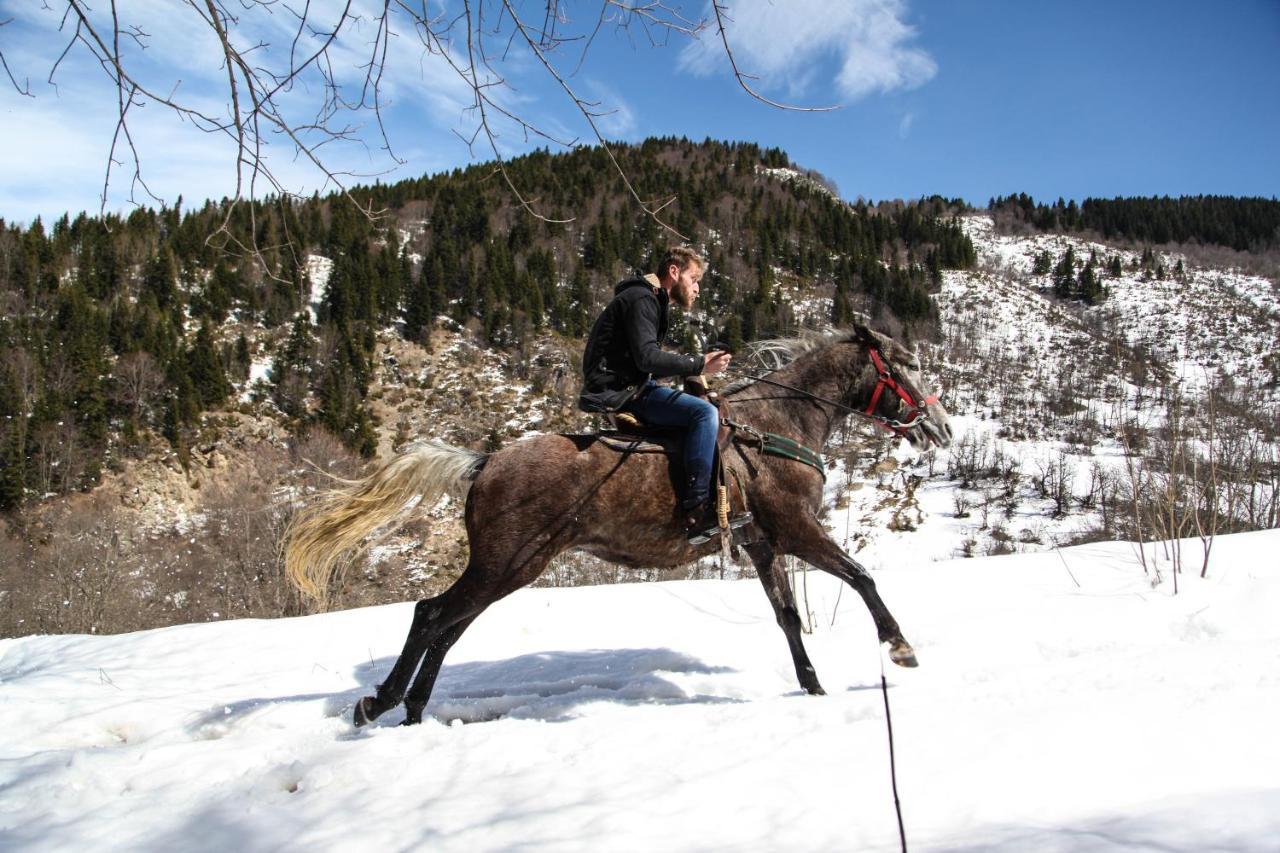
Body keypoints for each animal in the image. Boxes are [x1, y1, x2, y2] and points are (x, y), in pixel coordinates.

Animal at [288, 322, 952, 722]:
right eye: (904, 365)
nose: (941, 427)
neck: (777, 426)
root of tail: (484, 462)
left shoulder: (764, 544)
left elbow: (788, 617)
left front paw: (812, 688)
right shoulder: (796, 530)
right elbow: (862, 577)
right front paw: (899, 646)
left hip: (504, 568)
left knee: (447, 625)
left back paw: (412, 708)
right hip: (510, 562)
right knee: (432, 615)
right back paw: (383, 702)